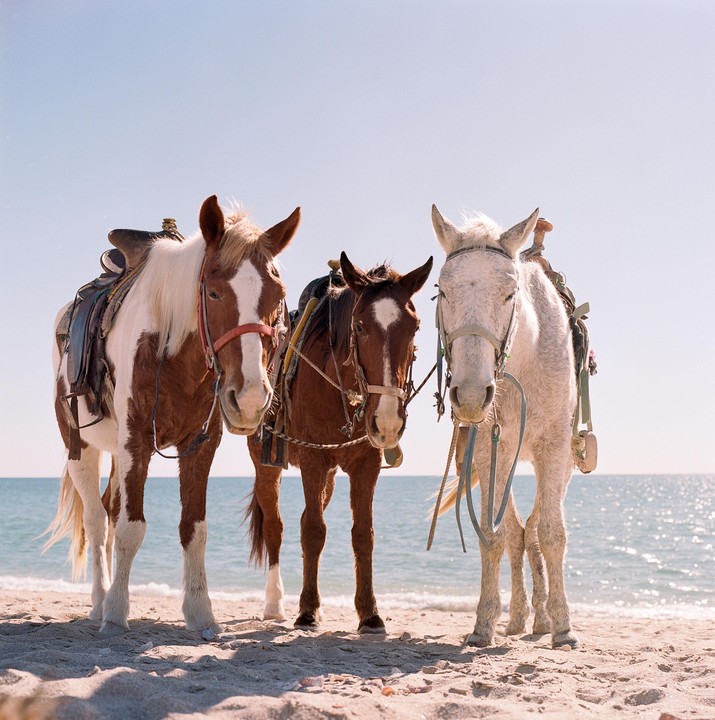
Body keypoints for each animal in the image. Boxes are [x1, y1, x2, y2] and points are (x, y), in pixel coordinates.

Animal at [45, 195, 300, 635]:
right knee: (96, 520)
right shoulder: (135, 441)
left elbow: (193, 529)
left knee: (109, 510)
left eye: (278, 295)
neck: (173, 352)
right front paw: (116, 614)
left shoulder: (200, 445)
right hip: (80, 446)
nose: (250, 398)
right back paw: (99, 600)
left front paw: (200, 613)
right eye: (213, 293)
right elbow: (130, 528)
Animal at [245, 252, 432, 633]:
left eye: (415, 327)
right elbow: (313, 531)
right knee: (276, 526)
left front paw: (369, 613)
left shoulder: (366, 465)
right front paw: (307, 611)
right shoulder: (313, 461)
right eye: (359, 327)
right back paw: (275, 604)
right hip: (266, 464)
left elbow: (363, 534)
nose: (388, 420)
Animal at [431, 204, 580, 649]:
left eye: (510, 294)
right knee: (516, 533)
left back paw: (543, 620)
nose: (471, 395)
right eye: (442, 292)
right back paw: (518, 620)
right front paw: (484, 625)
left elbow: (551, 533)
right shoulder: (485, 450)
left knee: (533, 530)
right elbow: (494, 536)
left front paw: (564, 628)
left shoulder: (554, 449)